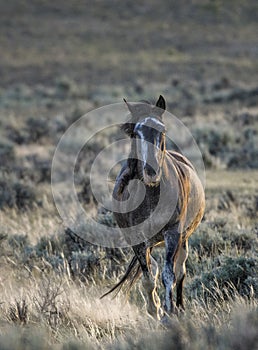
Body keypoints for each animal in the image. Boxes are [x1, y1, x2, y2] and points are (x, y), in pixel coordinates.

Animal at [102, 94, 205, 318]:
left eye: (162, 130)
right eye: (135, 132)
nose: (151, 171)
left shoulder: (173, 233)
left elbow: (169, 275)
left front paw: (169, 311)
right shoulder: (137, 240)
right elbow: (148, 278)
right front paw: (154, 309)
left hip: (183, 239)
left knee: (180, 271)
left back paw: (179, 307)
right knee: (155, 268)